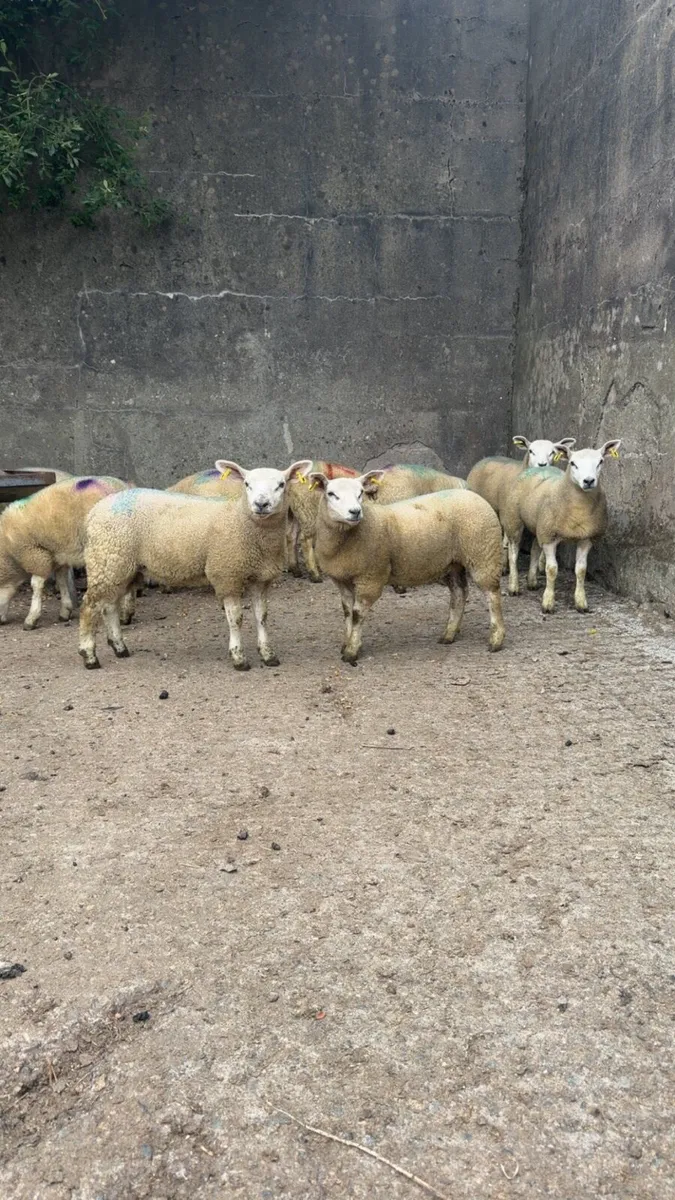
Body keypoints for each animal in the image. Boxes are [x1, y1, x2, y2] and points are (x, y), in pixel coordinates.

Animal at [0, 475, 130, 630]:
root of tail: (122, 487)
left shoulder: (36, 554)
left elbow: (36, 585)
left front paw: (31, 619)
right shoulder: (57, 555)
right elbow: (61, 580)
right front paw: (65, 611)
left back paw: (123, 615)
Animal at [78, 459, 312, 671]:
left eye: (281, 484)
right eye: (247, 484)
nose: (261, 504)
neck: (243, 520)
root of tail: (93, 512)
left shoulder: (261, 578)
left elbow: (261, 617)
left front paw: (267, 654)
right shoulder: (227, 574)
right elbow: (235, 619)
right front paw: (239, 657)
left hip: (121, 565)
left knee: (109, 606)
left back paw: (119, 647)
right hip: (107, 559)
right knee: (90, 605)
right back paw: (89, 655)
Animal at [310, 471, 505, 663]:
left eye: (360, 493)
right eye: (331, 494)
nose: (355, 512)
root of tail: (474, 494)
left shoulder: (370, 577)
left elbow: (358, 615)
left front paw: (352, 651)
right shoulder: (341, 580)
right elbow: (348, 613)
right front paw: (347, 643)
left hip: (483, 553)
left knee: (492, 594)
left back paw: (496, 640)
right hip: (452, 563)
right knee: (459, 593)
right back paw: (449, 634)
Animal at [501, 440, 622, 612]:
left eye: (600, 461)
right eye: (572, 463)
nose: (588, 481)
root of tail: (535, 468)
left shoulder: (586, 538)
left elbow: (581, 570)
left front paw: (581, 602)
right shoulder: (549, 538)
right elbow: (551, 569)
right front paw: (548, 603)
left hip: (540, 525)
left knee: (534, 549)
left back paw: (532, 582)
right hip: (514, 519)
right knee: (513, 552)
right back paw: (513, 586)